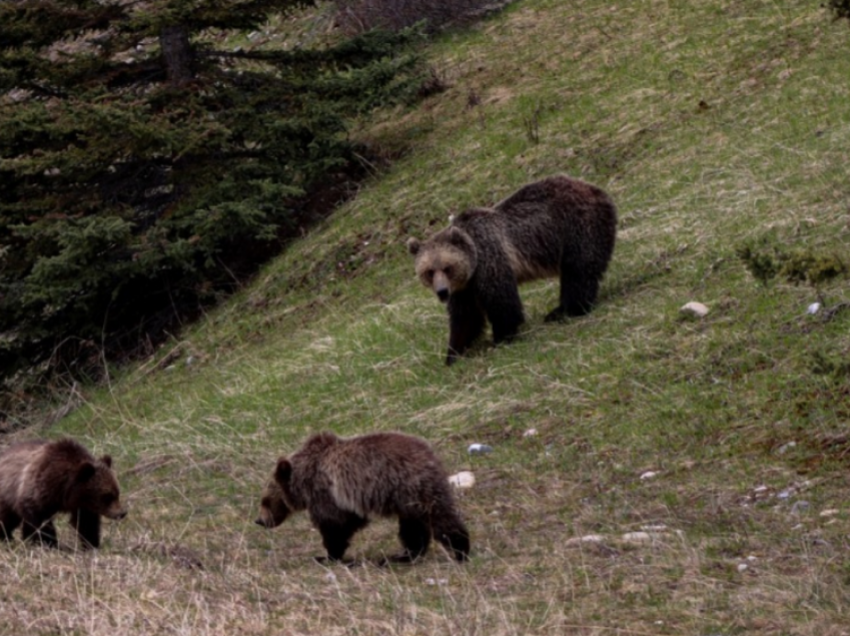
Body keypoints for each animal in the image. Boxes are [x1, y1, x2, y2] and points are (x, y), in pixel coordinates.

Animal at [256, 430, 470, 564]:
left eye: (265, 501)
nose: (259, 520)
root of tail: (431, 455)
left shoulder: (326, 493)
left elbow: (335, 525)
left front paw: (327, 556)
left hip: (412, 487)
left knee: (439, 518)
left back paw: (461, 550)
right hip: (407, 500)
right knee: (412, 527)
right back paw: (403, 556)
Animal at [406, 175, 616, 362]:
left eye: (447, 267)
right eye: (429, 272)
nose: (442, 291)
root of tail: (596, 190)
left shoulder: (490, 260)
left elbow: (502, 303)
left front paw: (501, 337)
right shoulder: (463, 288)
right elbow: (465, 317)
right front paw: (453, 353)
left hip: (575, 227)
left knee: (578, 271)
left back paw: (564, 311)